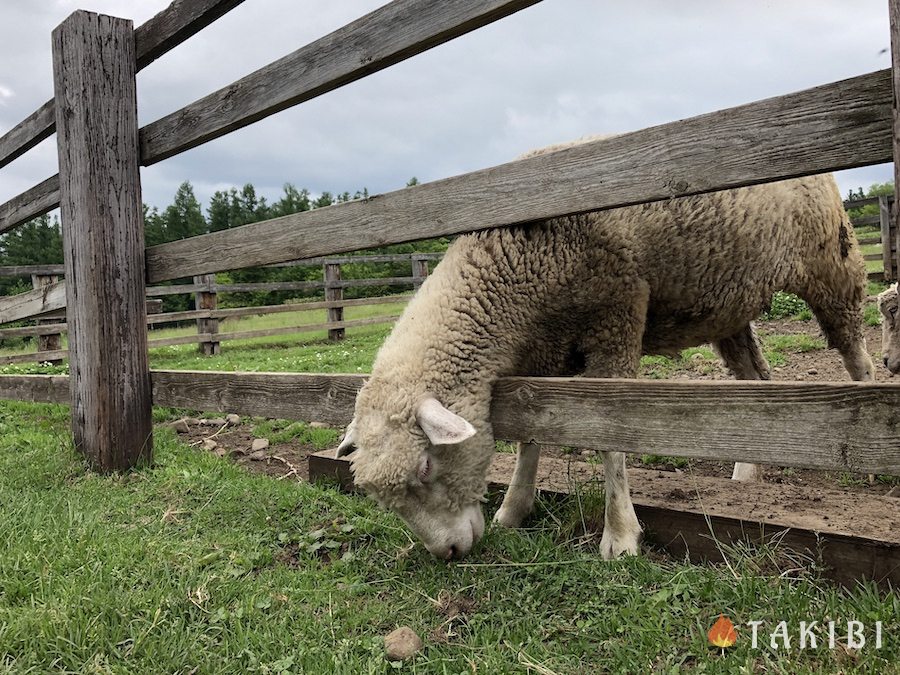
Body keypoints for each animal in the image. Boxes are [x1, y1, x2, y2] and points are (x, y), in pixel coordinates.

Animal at [336, 137, 872, 560]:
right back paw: (746, 469)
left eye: (426, 466)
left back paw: (868, 452)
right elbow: (531, 434)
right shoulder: (543, 355)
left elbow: (610, 437)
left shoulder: (617, 315)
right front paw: (514, 509)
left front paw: (620, 536)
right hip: (730, 306)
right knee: (756, 380)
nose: (447, 552)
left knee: (855, 355)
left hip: (833, 265)